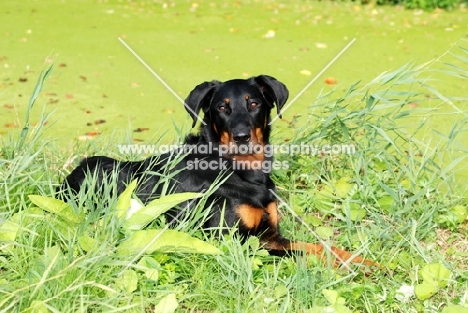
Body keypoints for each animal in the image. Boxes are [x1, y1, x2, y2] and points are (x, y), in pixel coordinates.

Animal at [58, 74, 376, 266]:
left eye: (254, 103)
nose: (241, 136)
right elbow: (303, 253)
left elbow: (322, 247)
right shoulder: (238, 242)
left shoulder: (270, 234)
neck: (244, 172)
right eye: (222, 108)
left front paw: (369, 263)